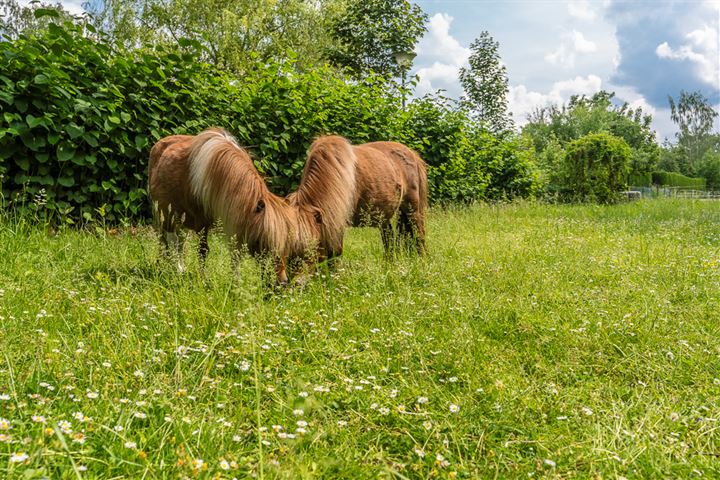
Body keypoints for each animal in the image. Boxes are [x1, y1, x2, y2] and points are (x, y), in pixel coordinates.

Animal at [149, 128, 358, 284]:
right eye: (265, 243)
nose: (282, 282)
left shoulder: (234, 218)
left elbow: (234, 253)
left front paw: (235, 283)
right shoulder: (204, 222)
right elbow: (205, 251)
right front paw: (206, 280)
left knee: (178, 243)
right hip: (167, 216)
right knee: (169, 242)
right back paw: (173, 269)